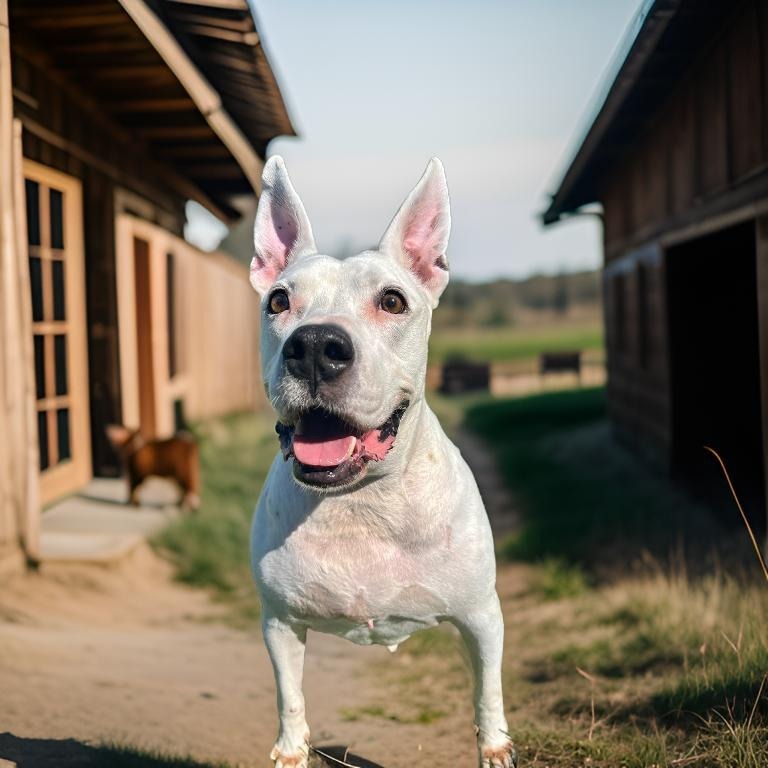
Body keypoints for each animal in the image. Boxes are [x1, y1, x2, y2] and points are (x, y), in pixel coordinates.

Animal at [252, 158, 516, 768]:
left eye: (392, 301)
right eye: (278, 301)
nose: (315, 346)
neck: (361, 500)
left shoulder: (481, 616)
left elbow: (487, 692)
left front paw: (495, 747)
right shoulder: (279, 623)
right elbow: (289, 697)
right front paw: (290, 750)